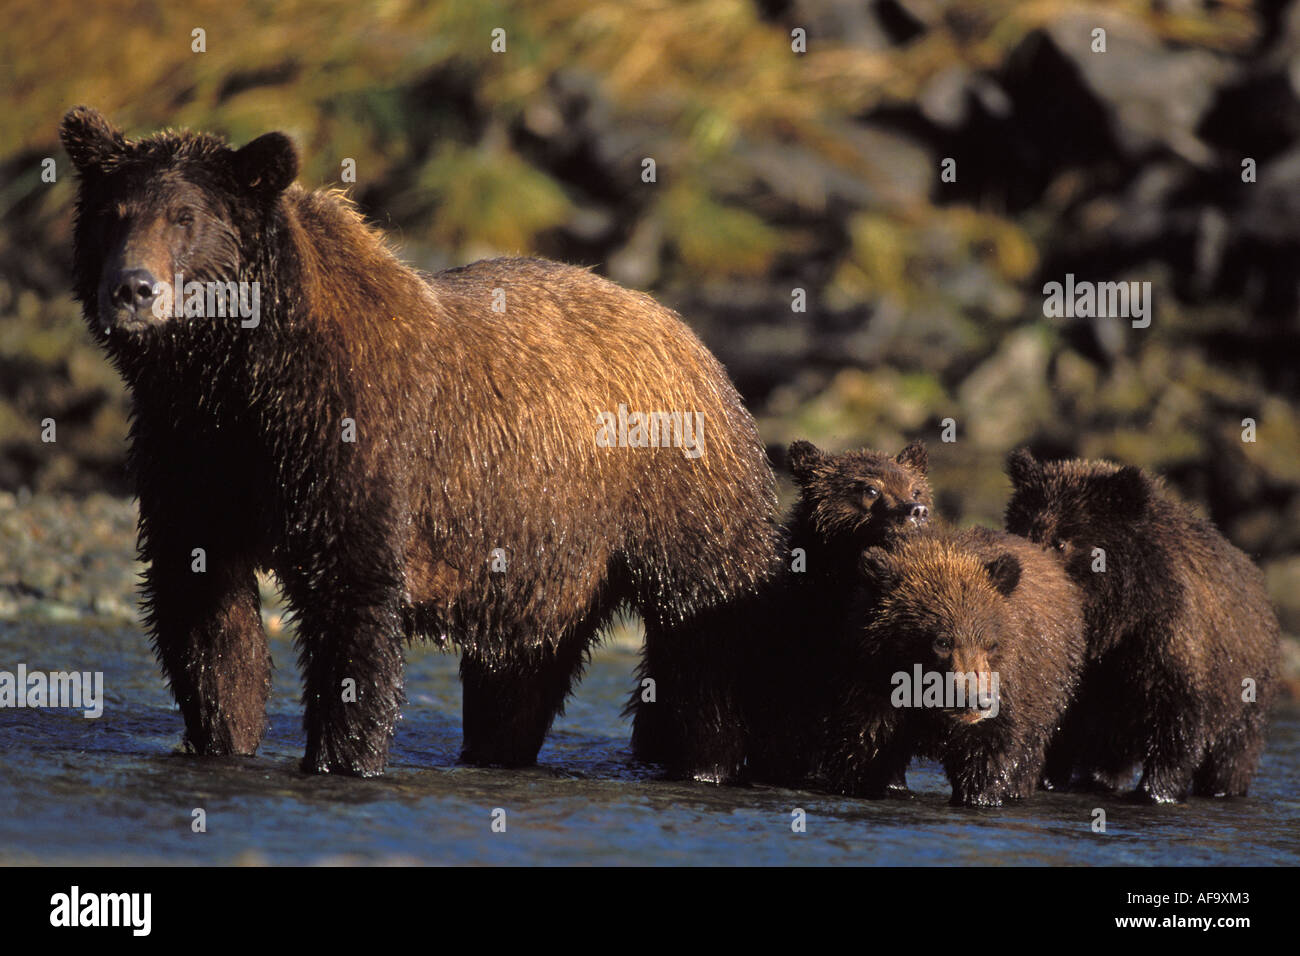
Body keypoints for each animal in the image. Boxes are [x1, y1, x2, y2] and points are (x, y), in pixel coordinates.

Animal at [59, 106, 783, 781]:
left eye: (185, 216)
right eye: (113, 214)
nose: (133, 288)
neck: (238, 371)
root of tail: (687, 334)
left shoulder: (352, 445)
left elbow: (351, 610)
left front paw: (342, 756)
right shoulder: (192, 450)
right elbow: (205, 609)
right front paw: (221, 738)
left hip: (674, 494)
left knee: (703, 633)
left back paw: (706, 759)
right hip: (539, 545)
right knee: (519, 667)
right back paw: (498, 749)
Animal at [817, 526, 1086, 807]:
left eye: (990, 644)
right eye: (943, 641)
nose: (978, 701)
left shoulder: (1007, 696)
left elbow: (989, 761)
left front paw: (981, 796)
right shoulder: (870, 682)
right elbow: (864, 748)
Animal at [1004, 449, 1281, 803]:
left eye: (1061, 541)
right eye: (1022, 527)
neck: (1114, 623)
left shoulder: (1168, 642)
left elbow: (1178, 721)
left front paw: (1158, 790)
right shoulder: (1087, 671)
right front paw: (1047, 776)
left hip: (1245, 692)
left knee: (1232, 754)